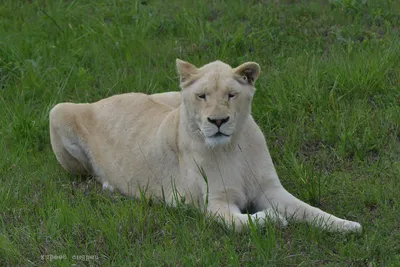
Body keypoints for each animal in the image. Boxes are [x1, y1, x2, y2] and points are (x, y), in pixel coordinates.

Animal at [50, 59, 362, 233]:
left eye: (231, 95)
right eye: (202, 96)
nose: (218, 120)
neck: (233, 147)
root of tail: (102, 100)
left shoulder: (271, 189)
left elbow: (310, 210)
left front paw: (347, 225)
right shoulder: (214, 205)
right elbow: (244, 224)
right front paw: (275, 219)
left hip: (169, 96)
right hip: (58, 109)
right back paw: (108, 186)